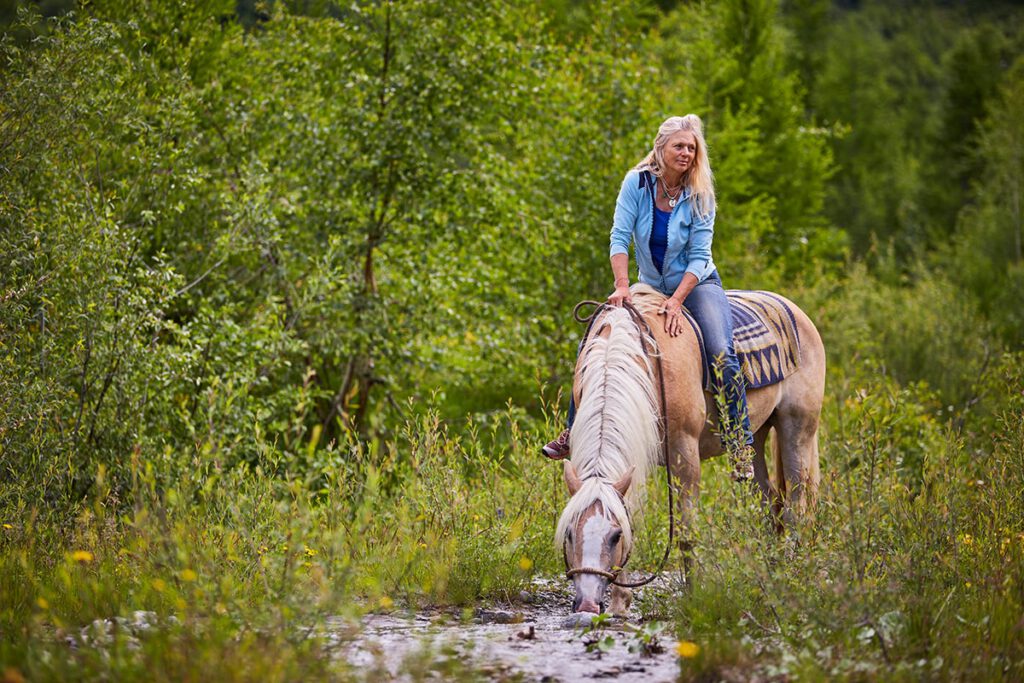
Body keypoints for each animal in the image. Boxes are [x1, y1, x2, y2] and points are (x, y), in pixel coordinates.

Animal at [557, 282, 819, 614]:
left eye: (615, 537)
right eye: (569, 533)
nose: (588, 605)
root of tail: (794, 309)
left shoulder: (684, 453)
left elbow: (685, 531)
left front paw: (692, 597)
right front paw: (619, 603)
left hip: (797, 429)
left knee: (798, 506)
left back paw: (790, 575)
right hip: (755, 438)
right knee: (768, 502)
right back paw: (768, 574)